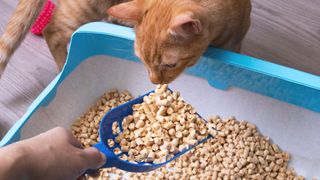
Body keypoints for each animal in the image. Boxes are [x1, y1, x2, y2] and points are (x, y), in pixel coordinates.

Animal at [0, 0, 251, 84]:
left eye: (170, 65)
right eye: (143, 62)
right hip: (83, 10)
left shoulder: (235, 40)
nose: (154, 82)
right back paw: (64, 68)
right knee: (52, 31)